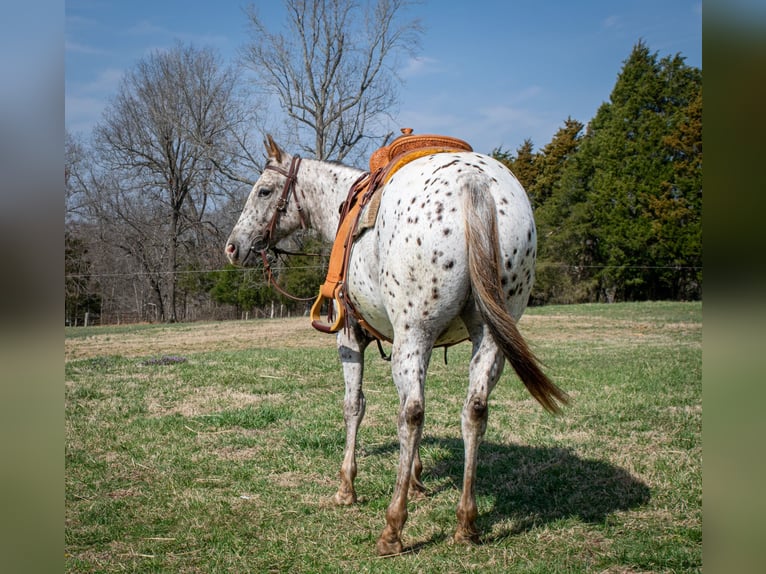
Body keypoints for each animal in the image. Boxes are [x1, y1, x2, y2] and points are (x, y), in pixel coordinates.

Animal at [225, 135, 568, 555]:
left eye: (264, 190)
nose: (232, 247)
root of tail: (474, 184)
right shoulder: (427, 343)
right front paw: (418, 480)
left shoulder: (351, 337)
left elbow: (354, 407)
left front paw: (347, 487)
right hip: (486, 338)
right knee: (472, 410)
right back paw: (466, 523)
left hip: (414, 333)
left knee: (412, 414)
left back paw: (393, 527)